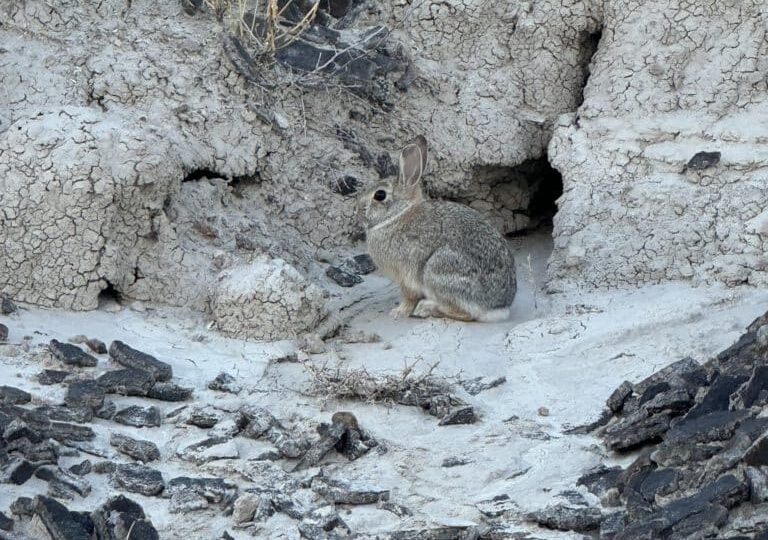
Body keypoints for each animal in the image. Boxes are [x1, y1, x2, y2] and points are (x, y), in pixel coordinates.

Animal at [358, 136, 516, 320]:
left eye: (380, 195)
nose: (356, 210)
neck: (397, 215)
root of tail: (496, 308)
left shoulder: (406, 277)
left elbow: (408, 297)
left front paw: (398, 312)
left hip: (439, 270)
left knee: (464, 314)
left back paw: (426, 309)